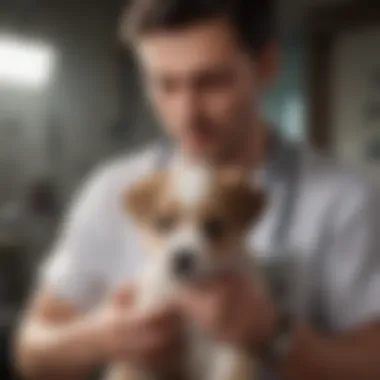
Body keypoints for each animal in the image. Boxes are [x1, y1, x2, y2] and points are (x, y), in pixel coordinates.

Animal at [105, 163, 268, 380]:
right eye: (164, 222)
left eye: (214, 226)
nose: (182, 259)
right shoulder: (148, 331)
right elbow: (130, 368)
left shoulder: (235, 341)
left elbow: (235, 372)